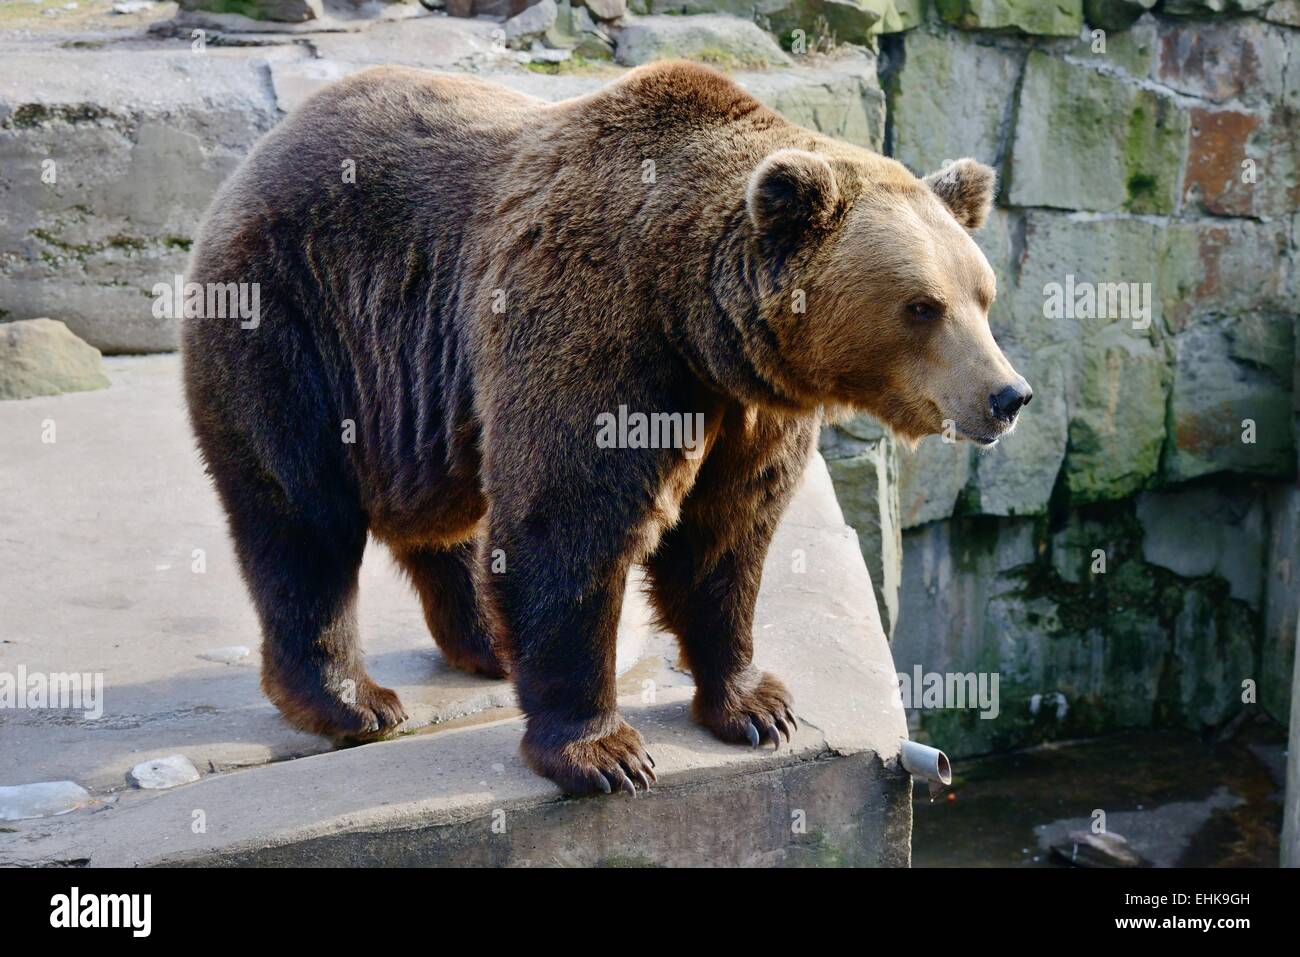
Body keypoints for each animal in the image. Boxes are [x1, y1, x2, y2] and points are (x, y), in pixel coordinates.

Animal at [182, 61, 1031, 796]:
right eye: (922, 305)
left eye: (982, 294)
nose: (1008, 395)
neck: (696, 320)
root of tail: (260, 151)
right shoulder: (601, 332)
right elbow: (569, 524)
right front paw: (603, 751)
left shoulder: (746, 410)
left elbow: (726, 535)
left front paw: (757, 704)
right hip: (294, 319)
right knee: (300, 515)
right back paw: (352, 699)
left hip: (412, 387)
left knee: (442, 512)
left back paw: (484, 639)